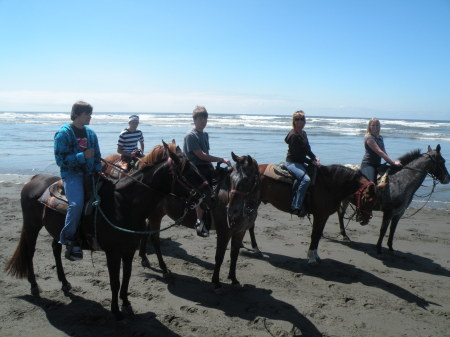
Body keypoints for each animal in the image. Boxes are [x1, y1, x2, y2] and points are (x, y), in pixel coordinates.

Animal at [4, 146, 213, 318]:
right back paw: (34, 286)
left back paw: (64, 282)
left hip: (59, 230)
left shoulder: (128, 251)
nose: (210, 194)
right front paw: (115, 310)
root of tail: (34, 179)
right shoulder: (112, 253)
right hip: (31, 226)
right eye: (189, 173)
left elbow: (126, 278)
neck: (124, 204)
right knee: (29, 253)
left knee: (56, 248)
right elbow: (114, 281)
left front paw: (126, 304)